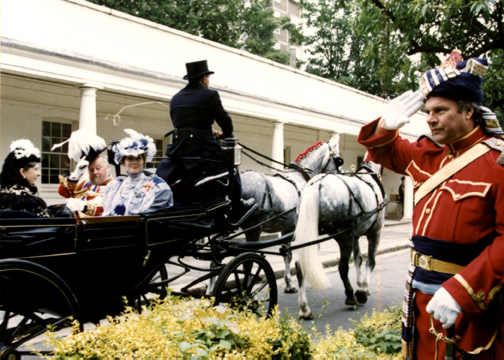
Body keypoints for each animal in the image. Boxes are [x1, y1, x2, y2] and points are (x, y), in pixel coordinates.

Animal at [239, 135, 342, 292]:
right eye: (339, 160)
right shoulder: (299, 227)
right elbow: (296, 252)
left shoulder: (286, 227)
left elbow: (286, 253)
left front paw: (288, 283)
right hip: (253, 230)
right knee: (246, 261)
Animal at [292, 162, 386, 320]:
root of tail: (317, 184)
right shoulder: (375, 232)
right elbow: (370, 261)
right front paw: (362, 291)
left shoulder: (355, 236)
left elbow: (358, 259)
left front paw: (360, 285)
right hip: (344, 238)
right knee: (342, 267)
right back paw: (350, 297)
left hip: (308, 235)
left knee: (300, 267)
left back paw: (304, 308)